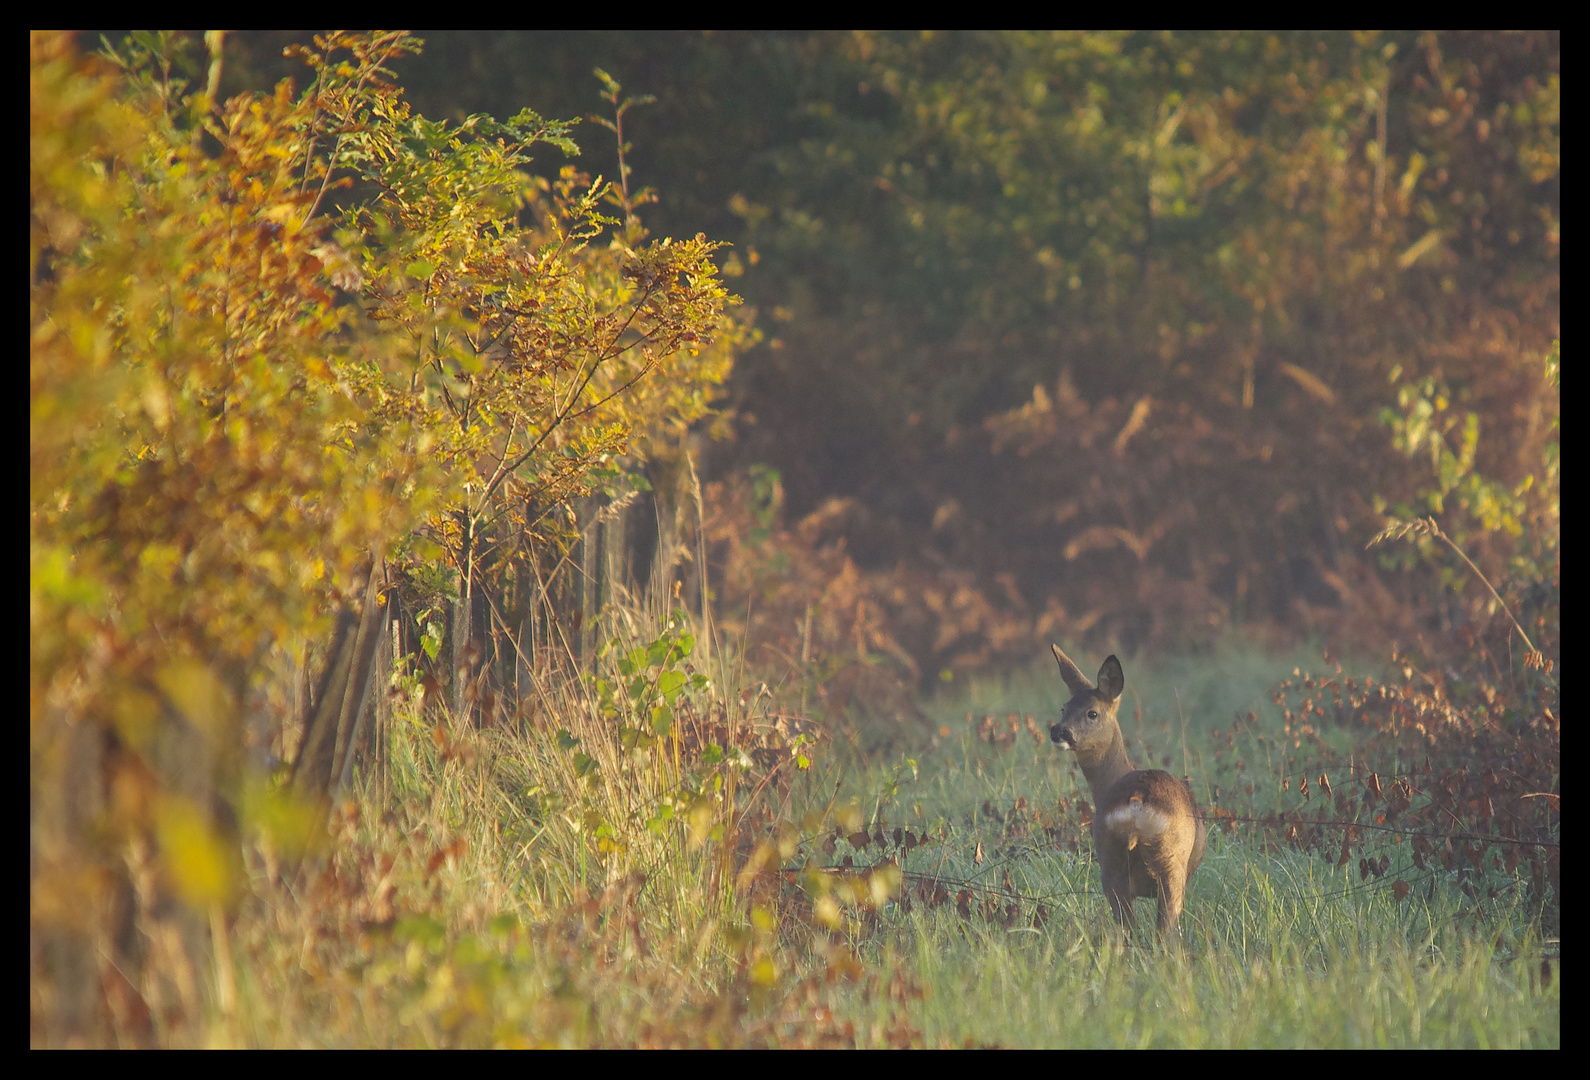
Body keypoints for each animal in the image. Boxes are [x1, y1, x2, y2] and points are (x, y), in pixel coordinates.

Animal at [1049, 645, 1208, 941]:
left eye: (1092, 712)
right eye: (1064, 708)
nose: (1059, 730)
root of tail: (1136, 802)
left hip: (1108, 857)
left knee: (1127, 926)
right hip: (1171, 862)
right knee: (1163, 929)